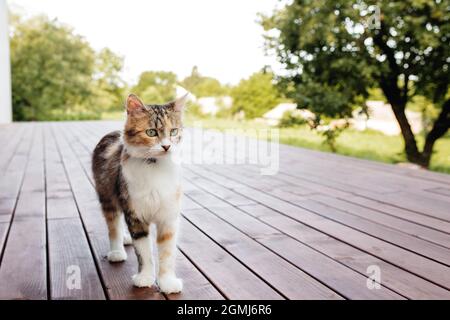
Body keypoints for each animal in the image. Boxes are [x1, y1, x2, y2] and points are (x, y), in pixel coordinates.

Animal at [92, 93, 187, 296]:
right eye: (151, 132)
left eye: (173, 131)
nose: (167, 146)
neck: (155, 166)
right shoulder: (135, 214)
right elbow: (143, 252)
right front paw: (145, 278)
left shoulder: (168, 217)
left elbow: (167, 255)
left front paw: (167, 283)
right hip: (108, 198)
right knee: (114, 226)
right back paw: (117, 251)